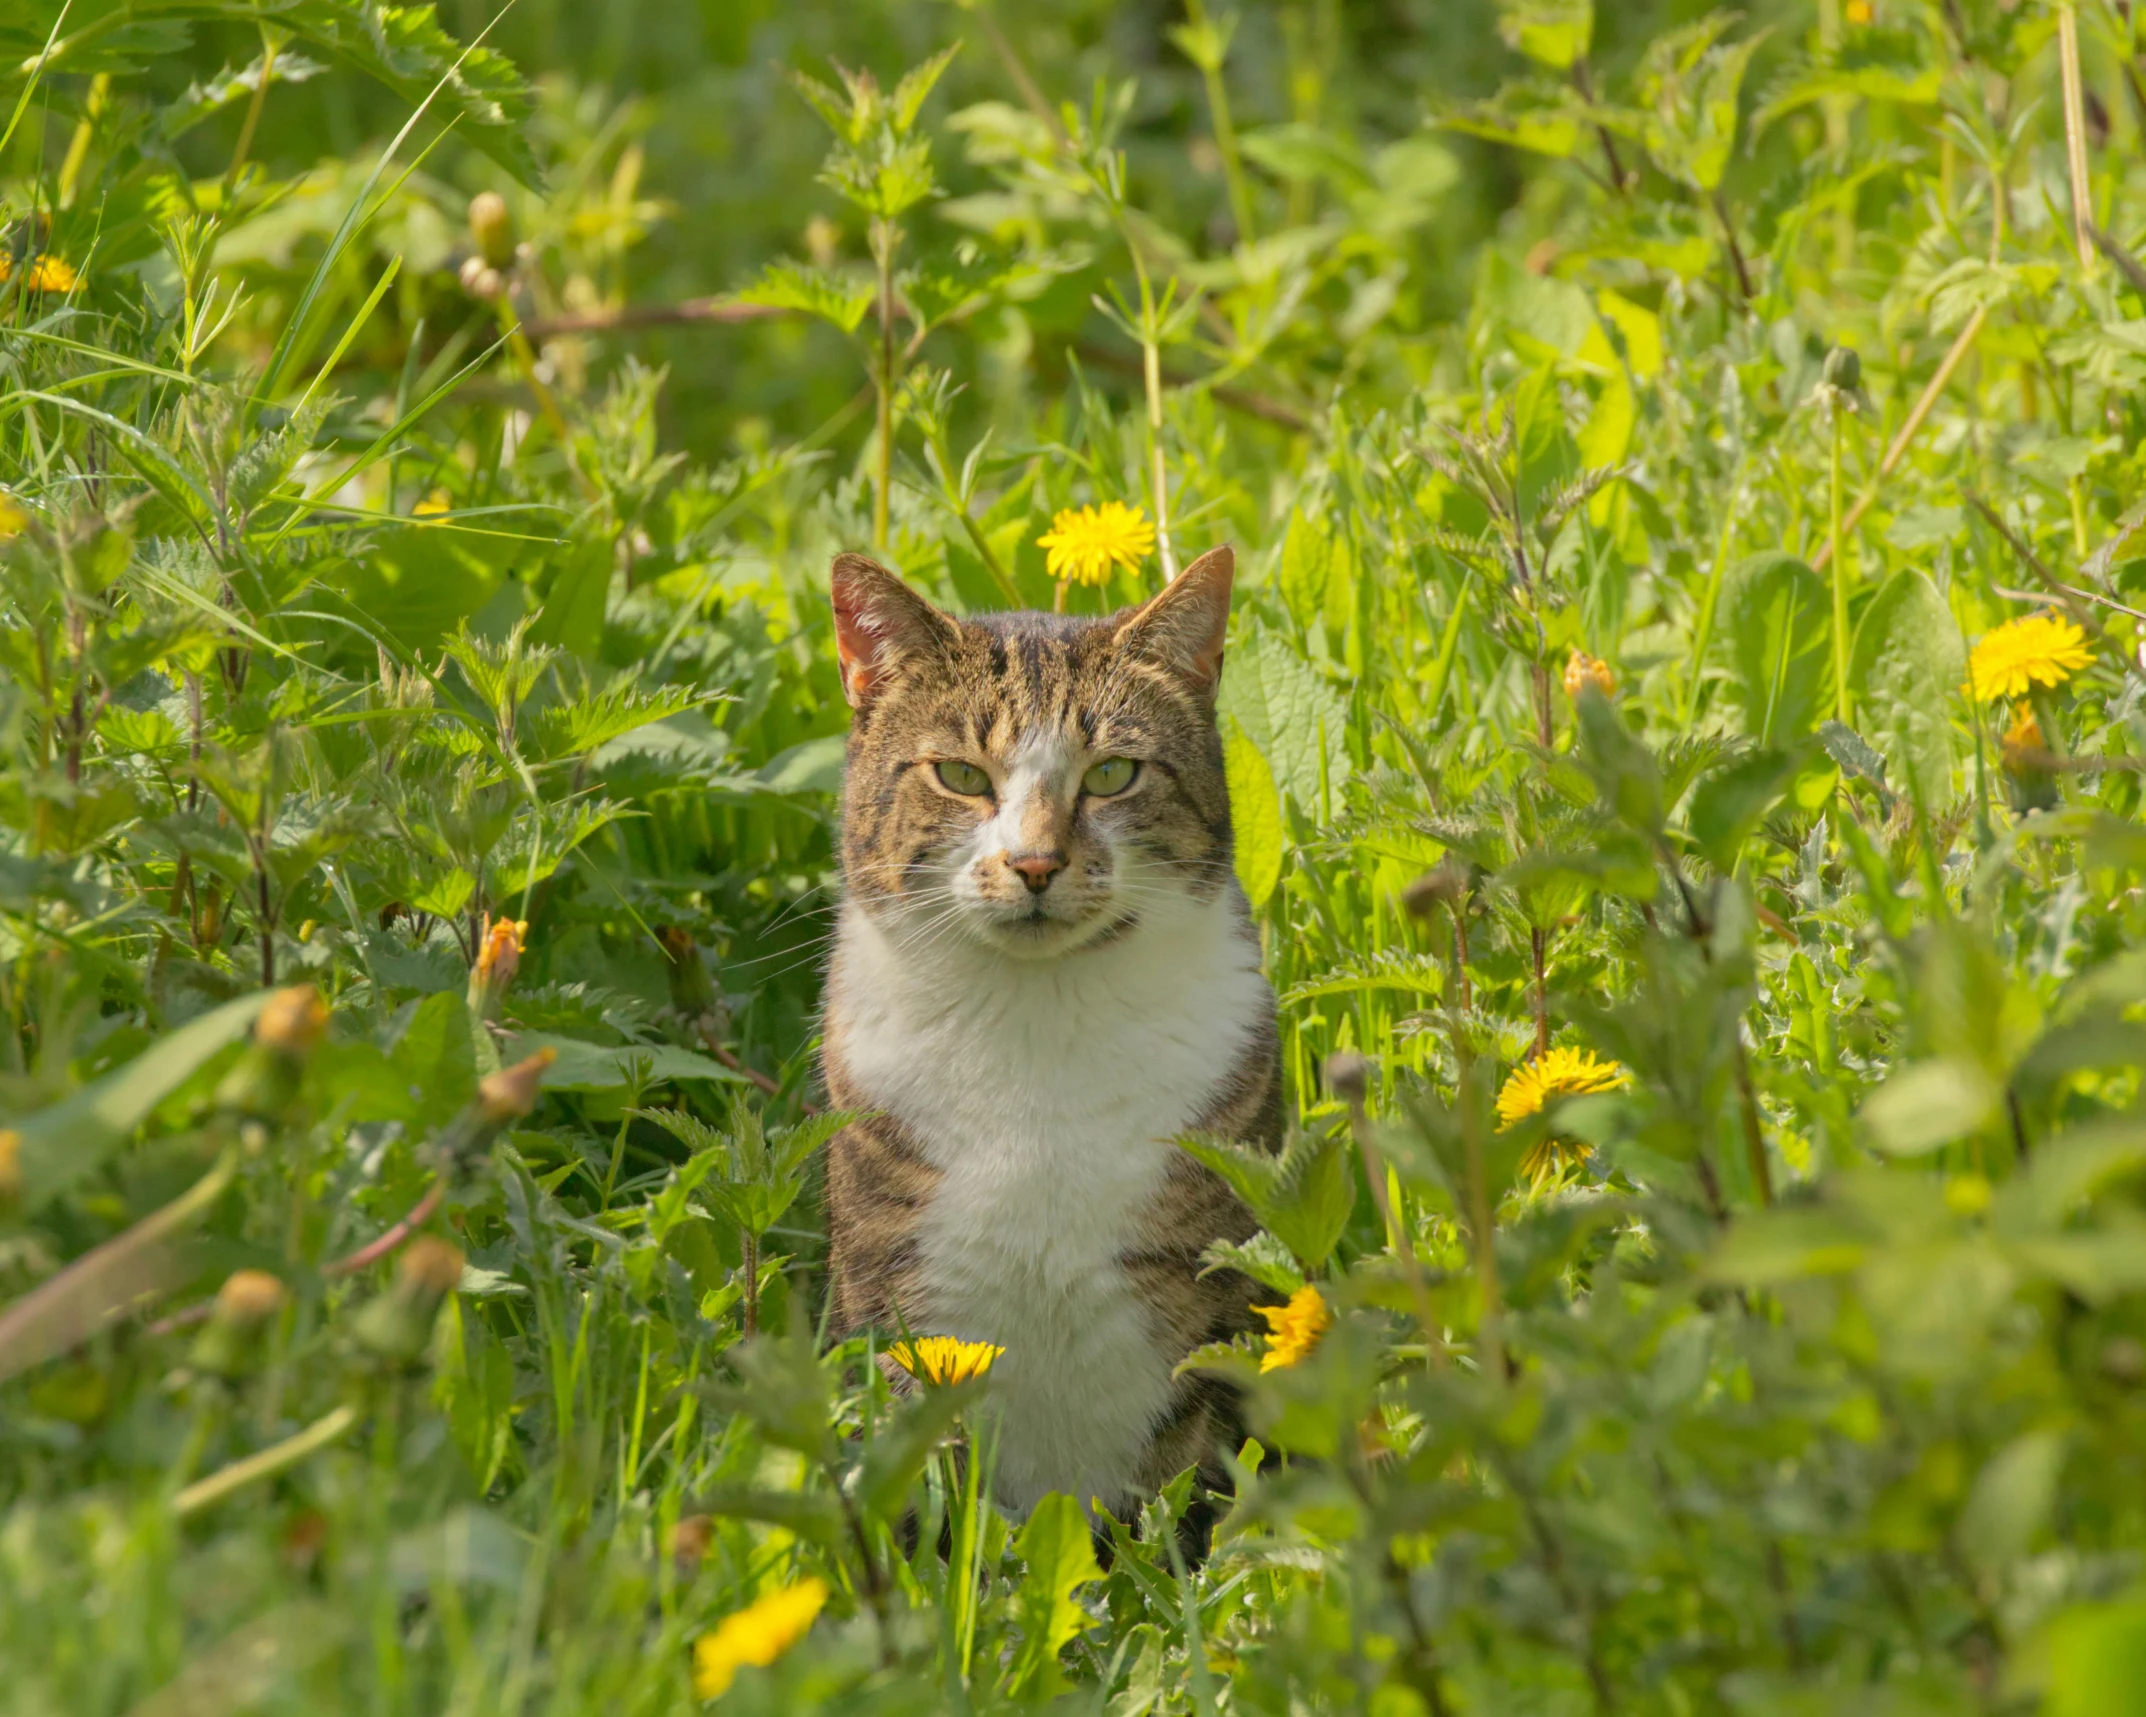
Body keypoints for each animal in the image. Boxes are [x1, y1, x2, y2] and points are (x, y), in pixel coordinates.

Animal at [815, 547, 1279, 1519]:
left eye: (1112, 774)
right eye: (959, 775)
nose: (1033, 863)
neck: (1038, 1019)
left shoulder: (1209, 1289)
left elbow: (1187, 1488)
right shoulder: (892, 1287)